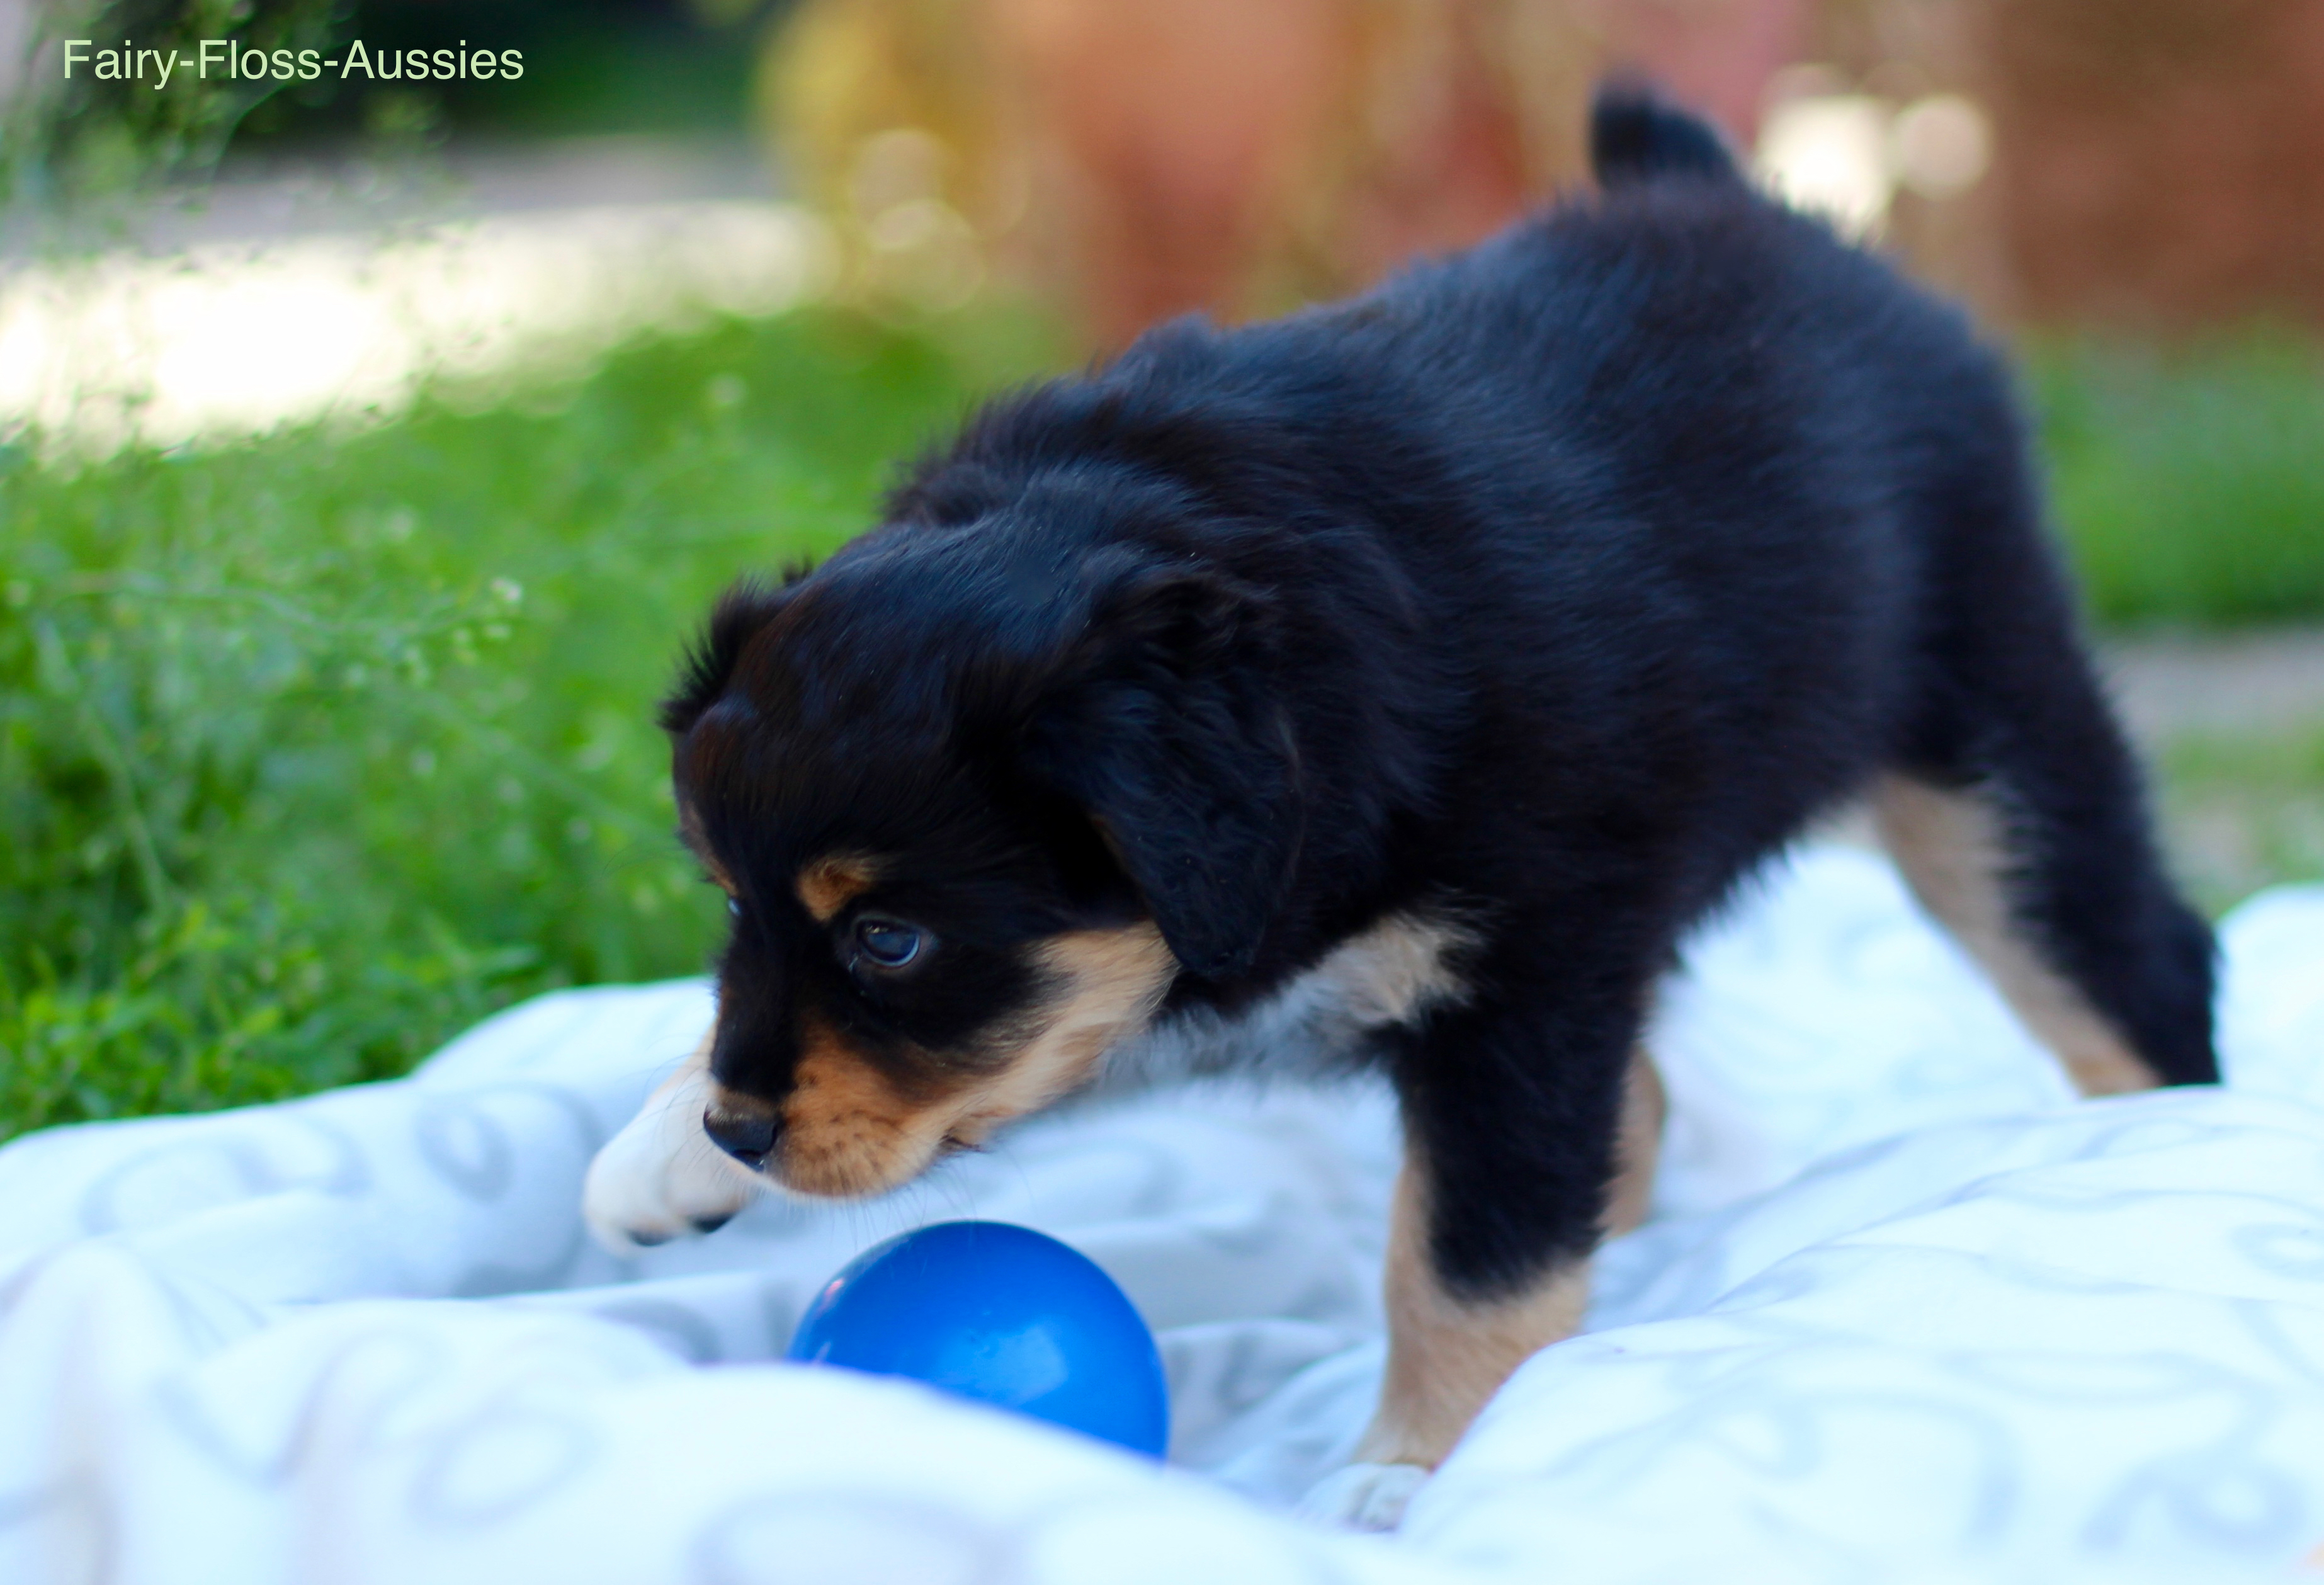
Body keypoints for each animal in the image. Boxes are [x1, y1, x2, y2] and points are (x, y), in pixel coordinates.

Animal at [581, 82, 2212, 1515]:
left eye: (892, 940)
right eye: (727, 898)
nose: (740, 1131)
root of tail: (1737, 201)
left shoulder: (1525, 973)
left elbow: (1464, 1252)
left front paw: (1411, 1475)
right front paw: (657, 1150)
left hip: (1986, 746)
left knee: (2127, 962)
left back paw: (2157, 1165)